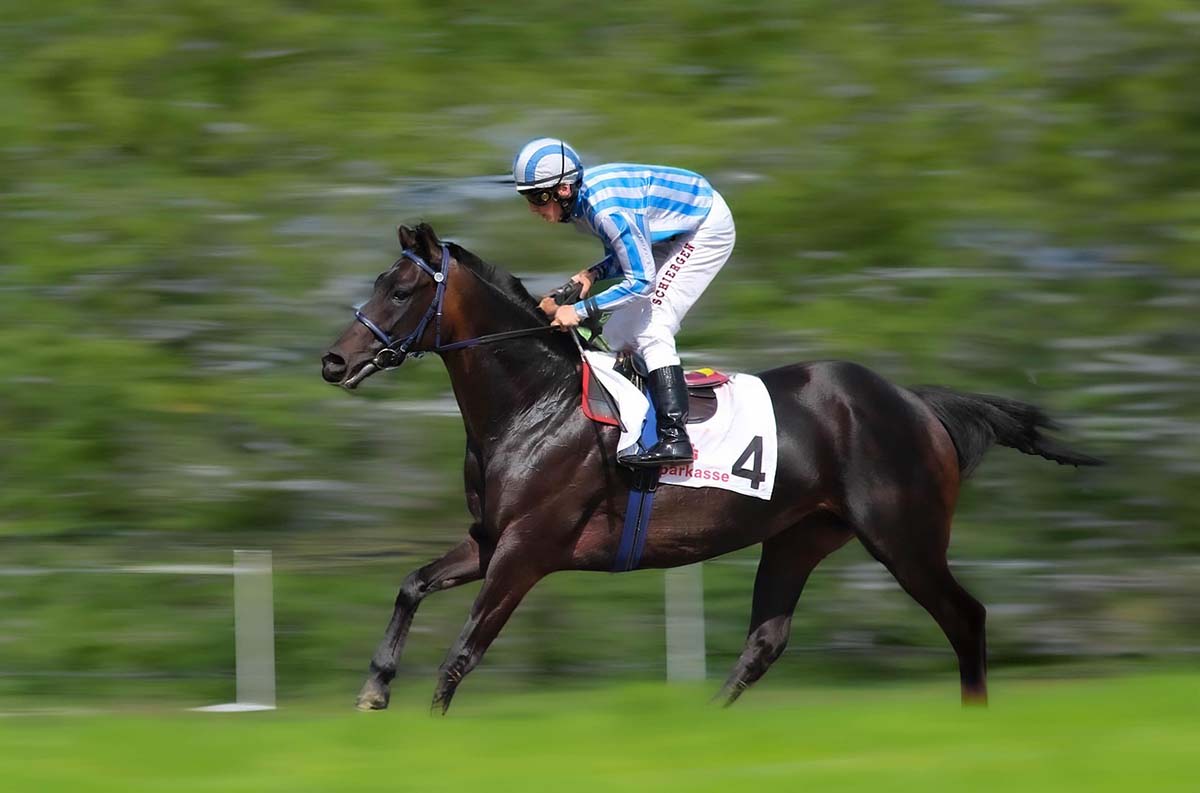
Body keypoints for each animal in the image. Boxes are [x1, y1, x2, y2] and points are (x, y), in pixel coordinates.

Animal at [321, 222, 1101, 713]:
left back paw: (976, 713)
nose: (333, 360)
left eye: (400, 291)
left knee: (965, 616)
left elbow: (462, 652)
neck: (534, 403)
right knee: (766, 640)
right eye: (380, 281)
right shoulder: (490, 540)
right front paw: (374, 689)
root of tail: (915, 400)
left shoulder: (528, 549)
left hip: (903, 535)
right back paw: (710, 718)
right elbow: (411, 584)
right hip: (798, 536)